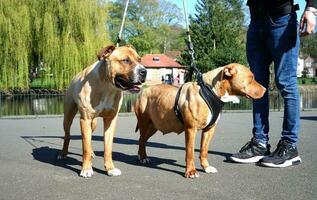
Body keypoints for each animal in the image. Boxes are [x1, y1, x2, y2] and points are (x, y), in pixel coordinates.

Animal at [133, 63, 264, 178]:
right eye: (251, 78)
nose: (265, 88)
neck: (211, 91)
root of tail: (143, 90)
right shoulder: (191, 130)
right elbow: (190, 152)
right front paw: (191, 171)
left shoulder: (209, 129)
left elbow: (204, 150)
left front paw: (206, 167)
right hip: (144, 123)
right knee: (141, 139)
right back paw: (143, 158)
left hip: (153, 126)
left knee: (142, 140)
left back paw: (141, 156)